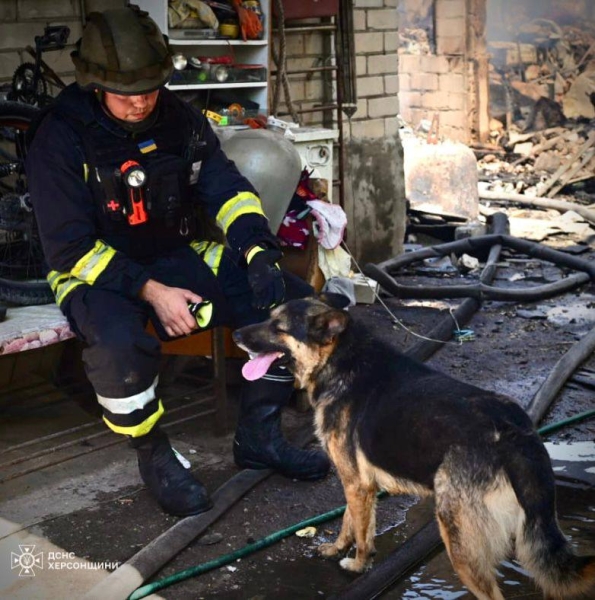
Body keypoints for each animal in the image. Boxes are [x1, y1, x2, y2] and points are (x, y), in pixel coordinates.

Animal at [233, 296, 595, 600]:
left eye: (278, 328)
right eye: (268, 317)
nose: (235, 333)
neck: (340, 358)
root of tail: (514, 432)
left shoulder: (356, 482)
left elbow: (361, 532)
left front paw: (357, 564)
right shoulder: (359, 484)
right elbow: (351, 521)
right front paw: (337, 548)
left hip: (458, 539)